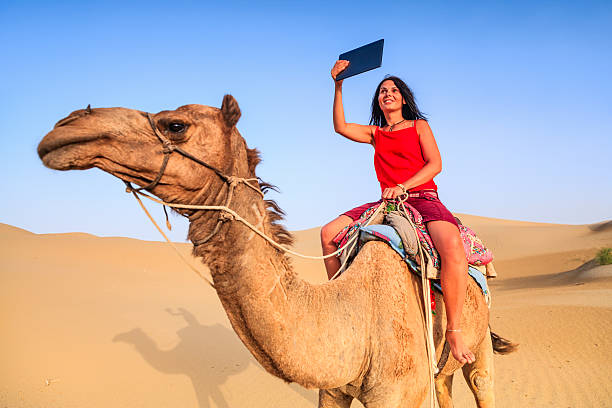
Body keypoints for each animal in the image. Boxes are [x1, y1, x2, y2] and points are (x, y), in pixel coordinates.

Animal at [38, 96, 512, 408]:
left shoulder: (400, 395)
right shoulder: (333, 391)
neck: (354, 318)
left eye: (175, 125)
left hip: (478, 352)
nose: (65, 126)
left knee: (482, 382)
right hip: (441, 372)